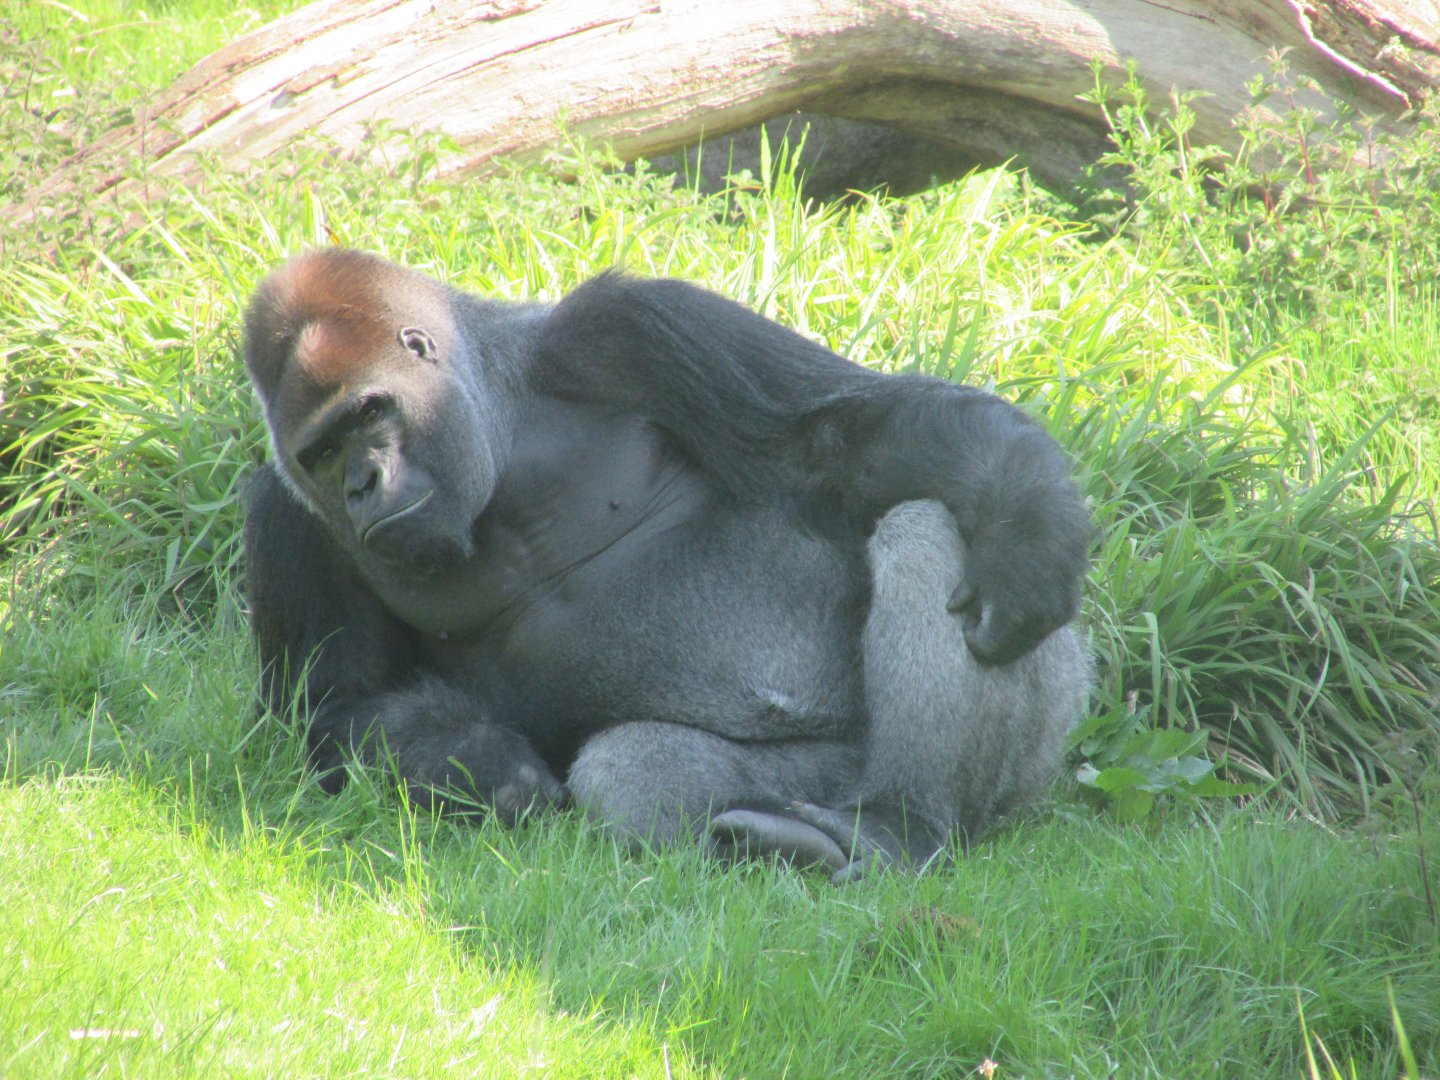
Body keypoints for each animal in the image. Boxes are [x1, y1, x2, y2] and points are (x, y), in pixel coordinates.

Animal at [242, 249, 1092, 880]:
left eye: (370, 412)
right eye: (321, 454)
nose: (360, 484)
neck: (498, 413)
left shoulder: (630, 328)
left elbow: (842, 435)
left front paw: (1028, 523)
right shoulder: (285, 512)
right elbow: (341, 701)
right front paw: (487, 763)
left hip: (1026, 763)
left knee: (929, 523)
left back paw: (902, 823)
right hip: (814, 781)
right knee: (635, 774)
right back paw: (797, 839)